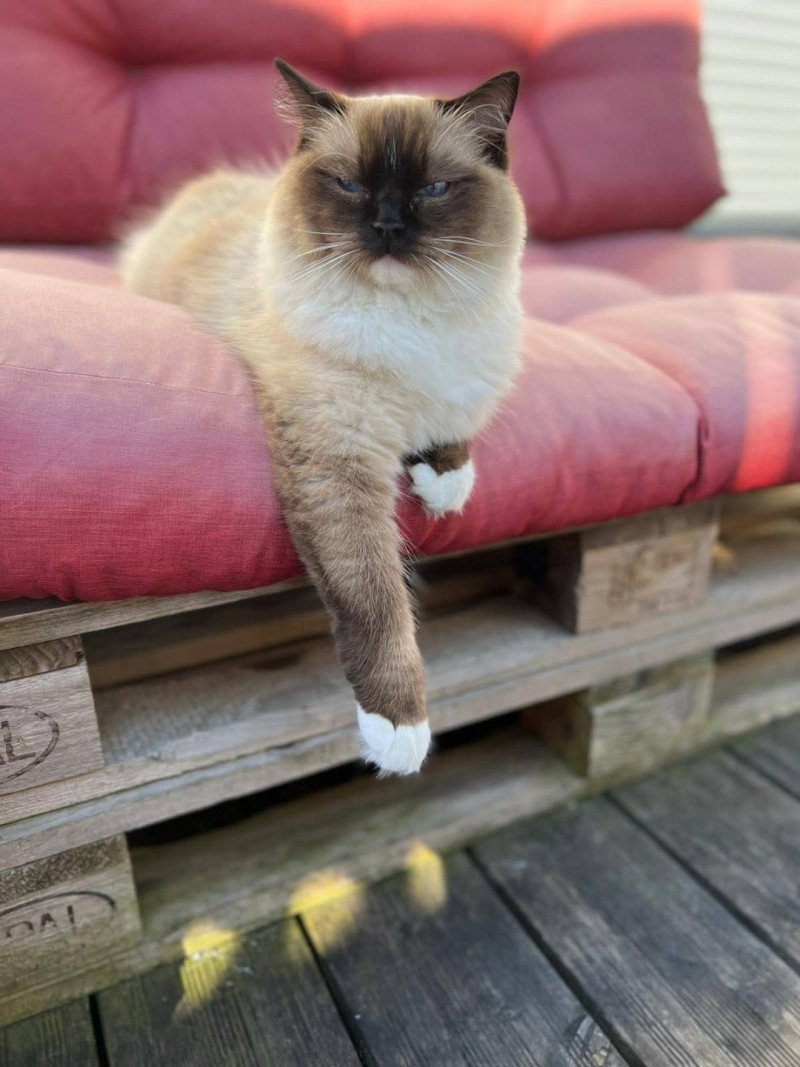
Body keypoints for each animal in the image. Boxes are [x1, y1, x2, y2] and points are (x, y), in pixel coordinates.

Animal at [120, 58, 526, 776]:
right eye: (349, 185)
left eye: (434, 189)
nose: (388, 226)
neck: (410, 322)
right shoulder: (339, 458)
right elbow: (375, 597)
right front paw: (400, 728)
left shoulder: (456, 383)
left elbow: (453, 430)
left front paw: (443, 485)